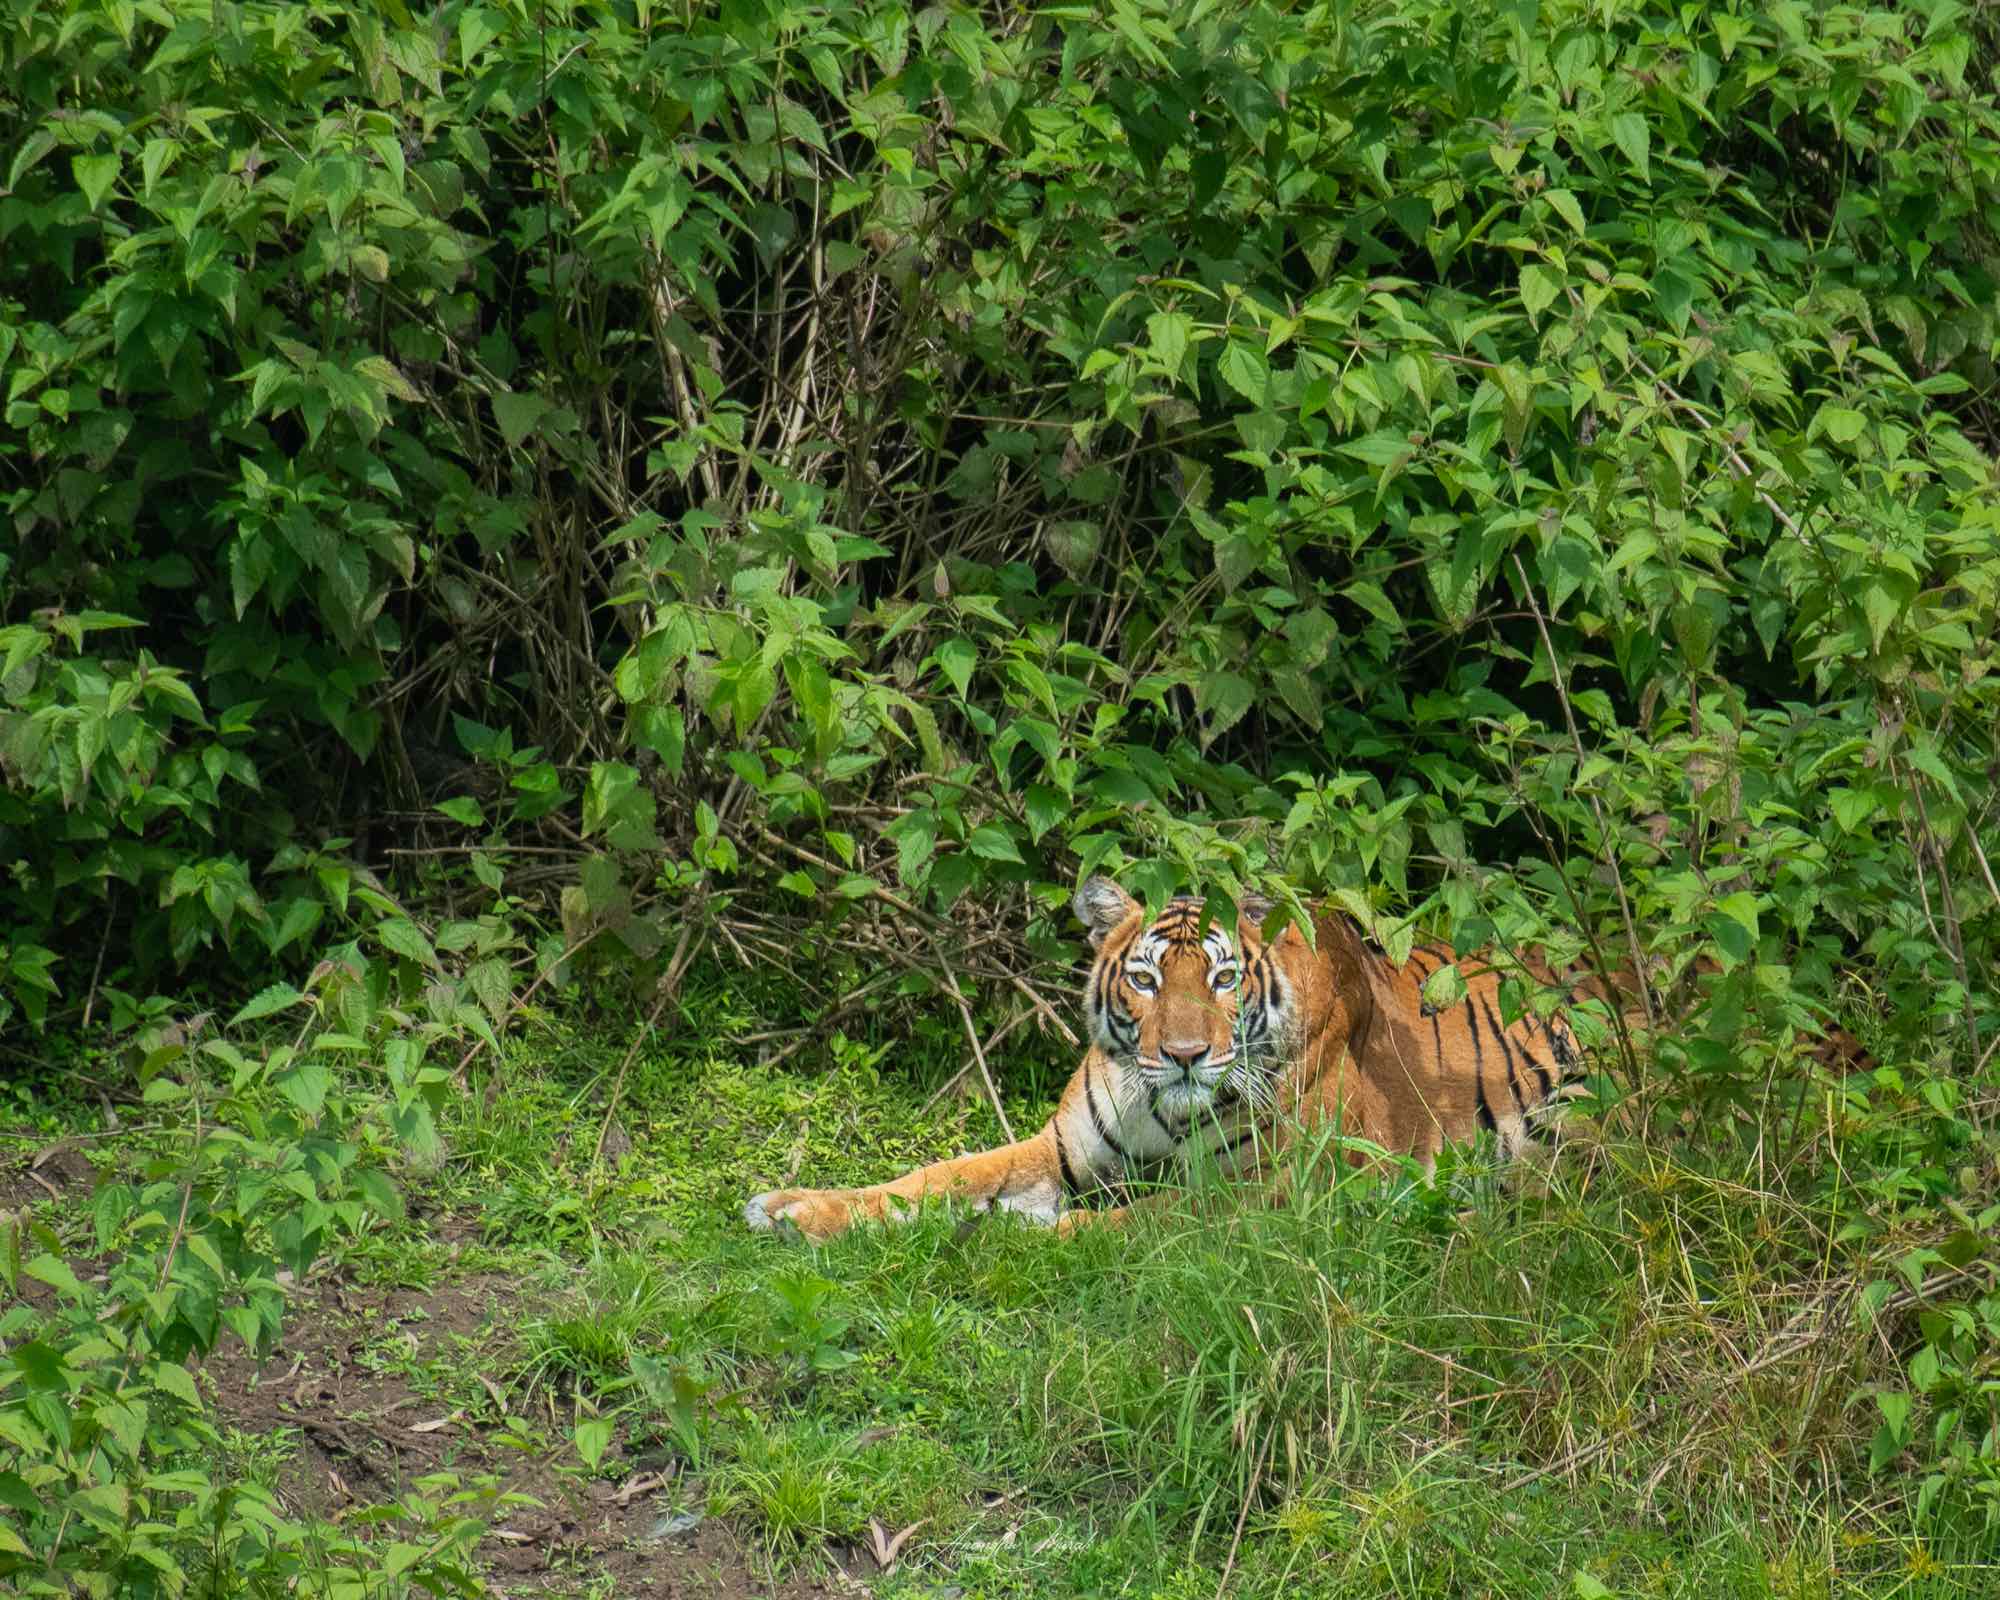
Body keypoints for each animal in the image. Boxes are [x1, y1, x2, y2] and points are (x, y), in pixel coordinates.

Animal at [743, 876, 1605, 1243]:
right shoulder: (1061, 1148)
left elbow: (1140, 1218)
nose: (1187, 1055)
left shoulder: (1285, 1185)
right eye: (1147, 979)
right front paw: (793, 1209)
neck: (1163, 1106)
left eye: (1223, 979)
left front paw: (1013, 1231)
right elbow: (941, 1175)